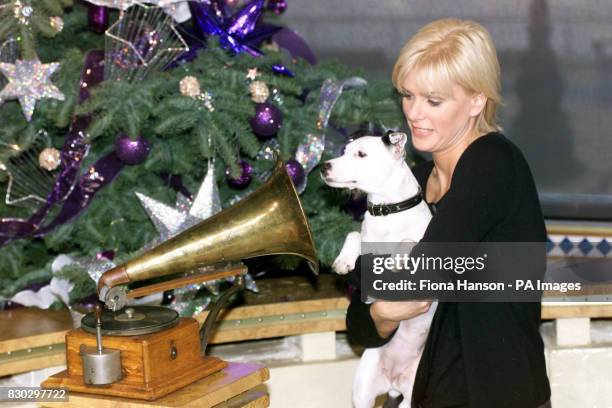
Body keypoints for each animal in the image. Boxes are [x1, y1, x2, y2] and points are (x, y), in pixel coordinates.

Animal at [322, 132, 438, 406]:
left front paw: (397, 258)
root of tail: (394, 383)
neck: (387, 212)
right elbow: (353, 234)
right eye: (345, 150)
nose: (323, 167)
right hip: (362, 394)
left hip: (411, 398)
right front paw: (344, 260)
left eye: (361, 154)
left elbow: (409, 240)